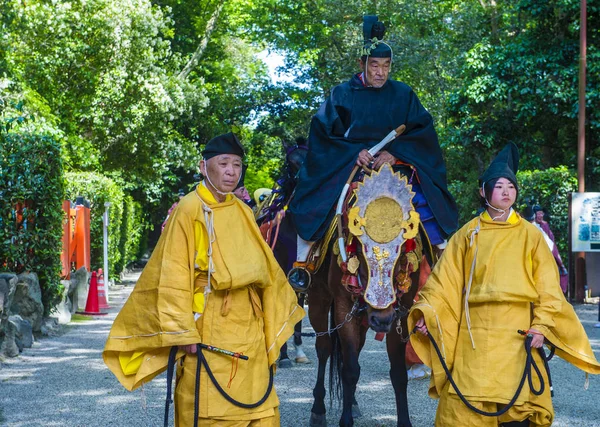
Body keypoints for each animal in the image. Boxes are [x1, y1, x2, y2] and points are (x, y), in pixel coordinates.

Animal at [308, 166, 428, 427]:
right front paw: (344, 420)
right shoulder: (344, 308)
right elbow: (350, 369)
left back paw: (352, 403)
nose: (380, 320)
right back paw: (319, 408)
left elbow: (398, 373)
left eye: (402, 253)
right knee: (324, 347)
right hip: (319, 299)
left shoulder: (400, 312)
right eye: (360, 251)